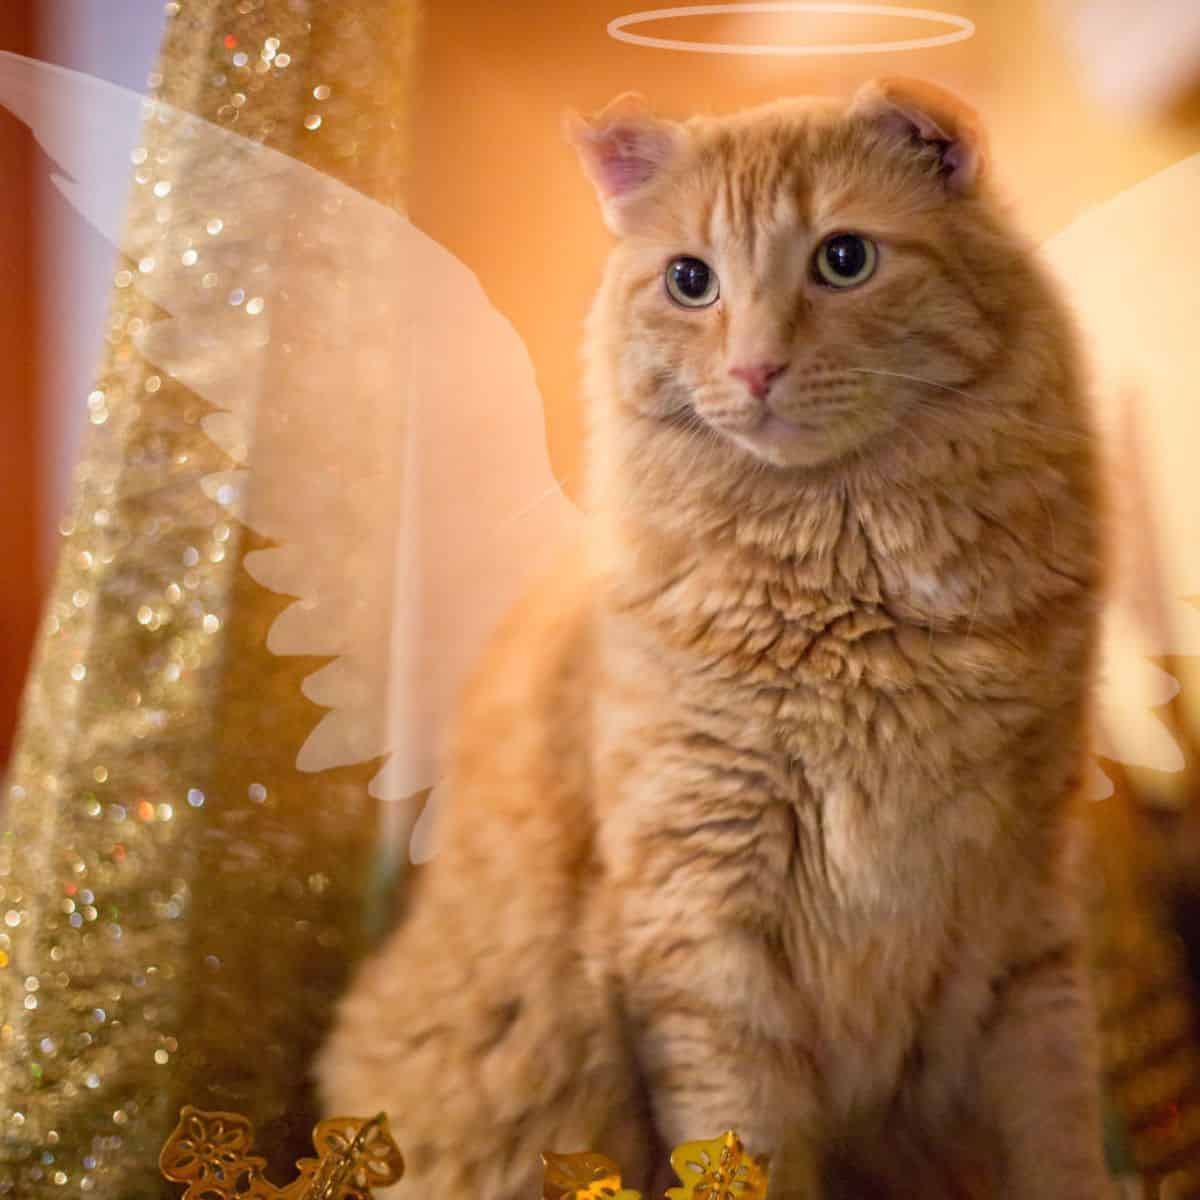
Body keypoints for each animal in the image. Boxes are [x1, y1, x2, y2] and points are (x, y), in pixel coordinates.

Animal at [316, 79, 1104, 1195]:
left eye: (844, 259)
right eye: (691, 280)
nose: (755, 366)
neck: (851, 597)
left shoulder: (1027, 921)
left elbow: (1061, 1136)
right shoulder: (701, 924)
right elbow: (744, 1140)